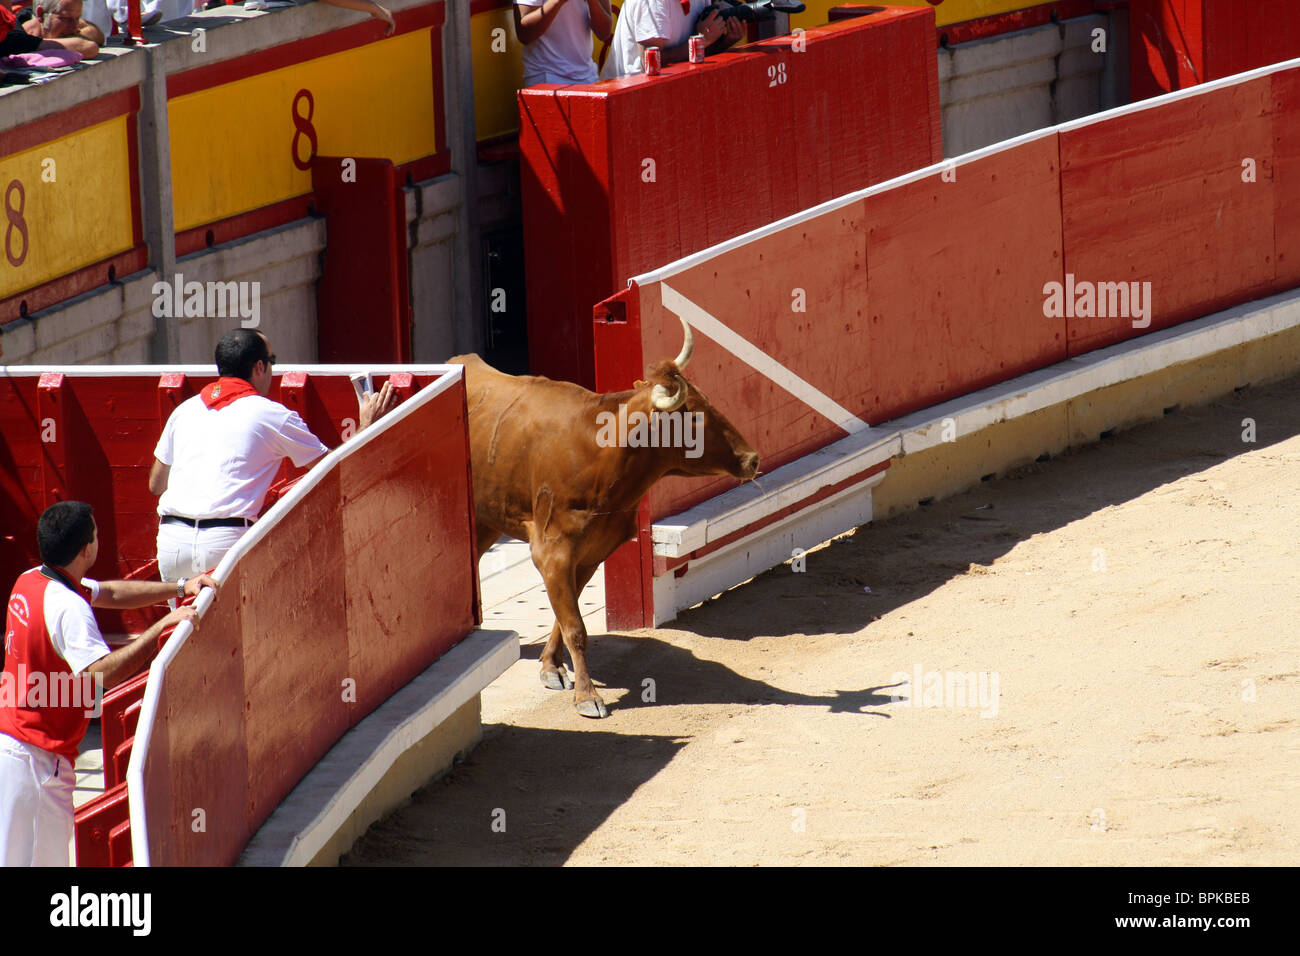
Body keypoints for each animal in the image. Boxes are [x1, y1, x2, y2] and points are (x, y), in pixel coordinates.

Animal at [454, 321, 759, 717]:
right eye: (694, 416)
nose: (752, 459)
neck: (601, 454)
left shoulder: (591, 553)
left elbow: (563, 617)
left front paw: (551, 667)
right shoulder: (553, 552)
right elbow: (575, 627)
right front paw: (587, 695)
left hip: (488, 521)